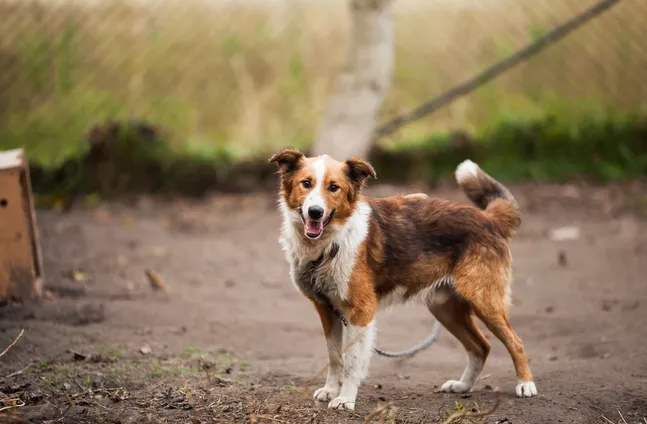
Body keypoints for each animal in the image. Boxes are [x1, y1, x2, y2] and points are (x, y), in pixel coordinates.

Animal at [270, 148, 540, 410]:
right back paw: (463, 386)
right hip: (444, 308)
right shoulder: (326, 309)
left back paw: (525, 385)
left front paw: (346, 399)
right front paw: (330, 390)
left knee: (515, 342)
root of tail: (489, 219)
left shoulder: (361, 312)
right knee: (481, 346)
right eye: (306, 183)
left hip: (484, 300)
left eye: (333, 187)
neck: (331, 243)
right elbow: (335, 356)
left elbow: (352, 361)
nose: (315, 212)